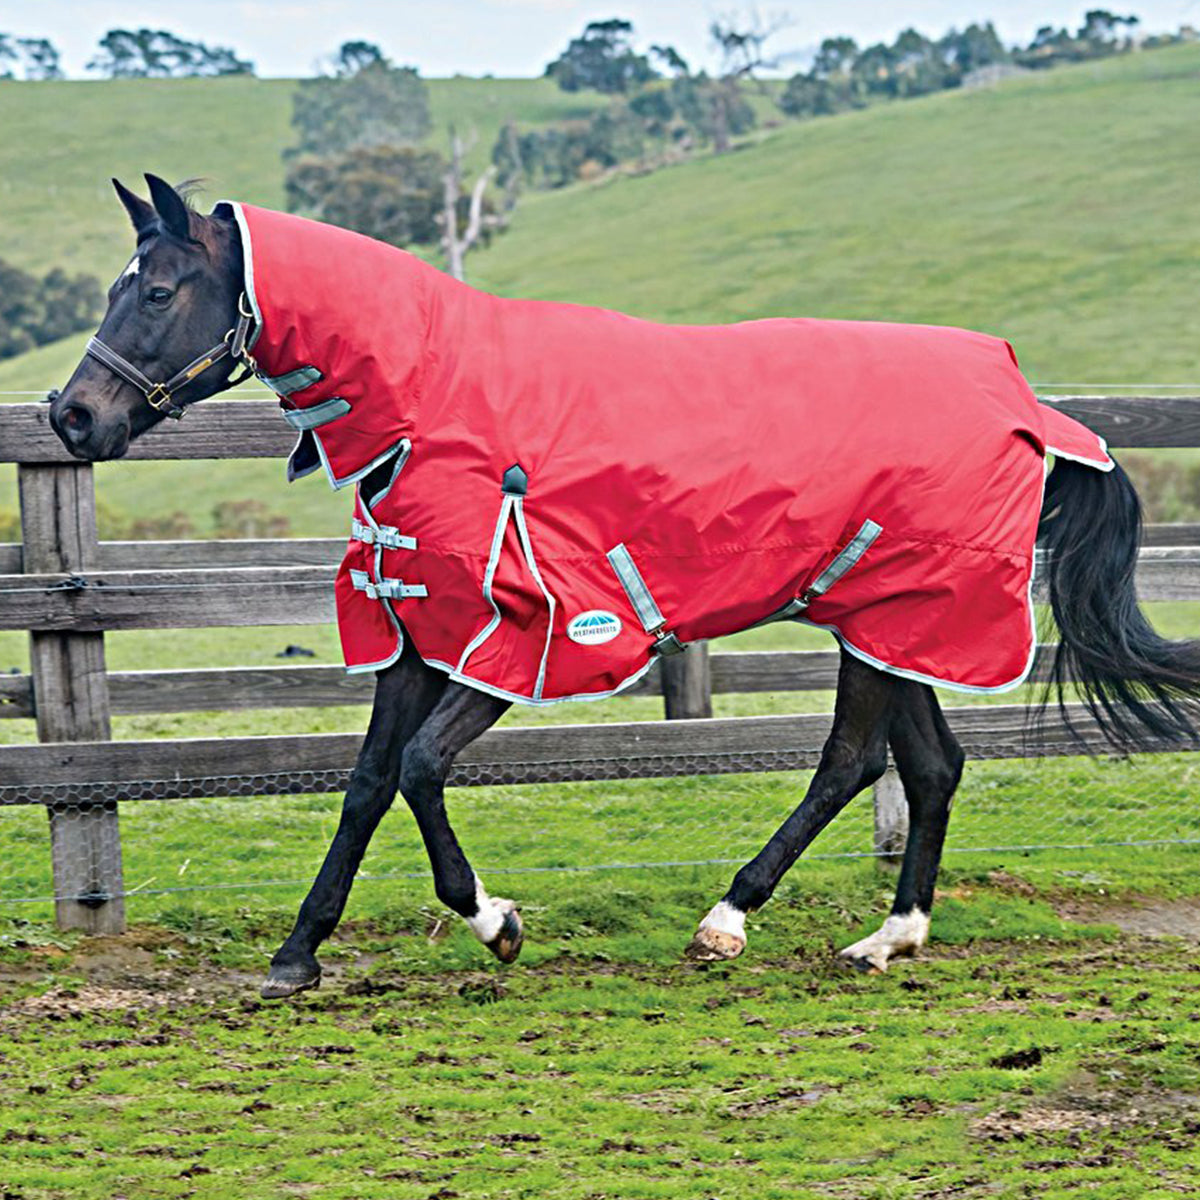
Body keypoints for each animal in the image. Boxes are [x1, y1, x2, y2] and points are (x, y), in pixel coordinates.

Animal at [46, 177, 1200, 998]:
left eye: (158, 291)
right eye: (112, 289)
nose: (71, 417)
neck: (437, 400)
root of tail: (1026, 400)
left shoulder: (524, 641)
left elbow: (420, 769)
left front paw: (497, 923)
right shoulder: (418, 631)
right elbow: (369, 781)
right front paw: (297, 954)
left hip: (894, 620)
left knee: (848, 762)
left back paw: (729, 921)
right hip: (887, 621)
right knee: (930, 765)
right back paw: (889, 937)